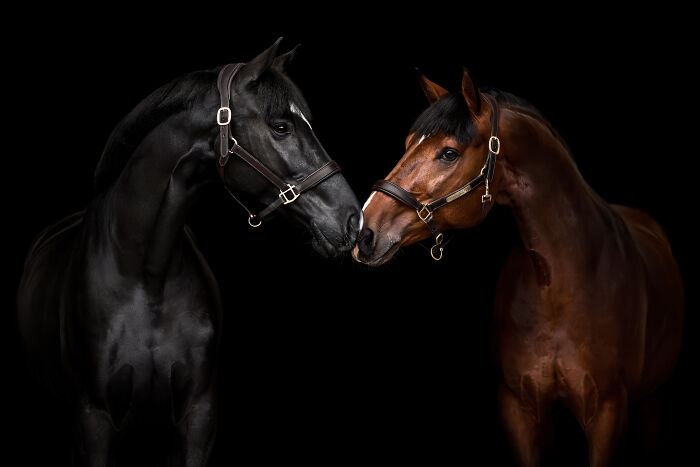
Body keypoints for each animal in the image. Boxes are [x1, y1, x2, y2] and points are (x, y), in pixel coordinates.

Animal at [353, 68, 684, 466]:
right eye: (407, 143)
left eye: (449, 153)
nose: (363, 231)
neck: (559, 286)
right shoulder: (520, 411)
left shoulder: (608, 413)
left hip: (652, 399)